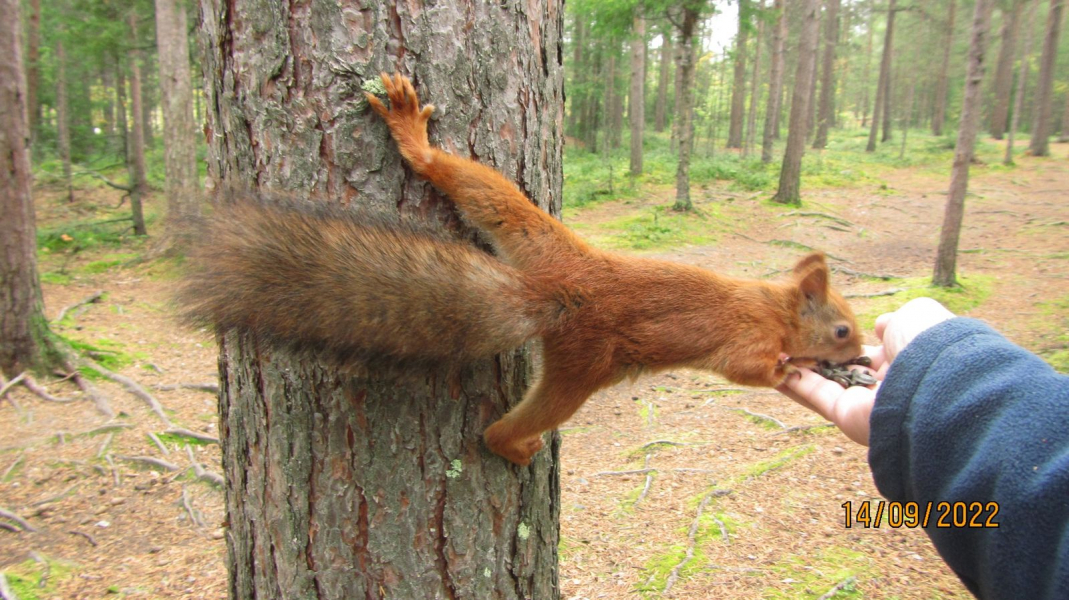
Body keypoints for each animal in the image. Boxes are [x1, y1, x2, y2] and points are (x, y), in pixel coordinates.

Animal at [181, 74, 862, 466]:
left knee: (475, 187)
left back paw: (415, 142)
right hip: (579, 369)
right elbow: (750, 367)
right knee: (512, 427)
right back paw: (511, 444)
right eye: (842, 329)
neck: (774, 305)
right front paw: (789, 369)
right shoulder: (745, 337)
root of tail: (551, 289)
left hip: (534, 234)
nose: (860, 355)